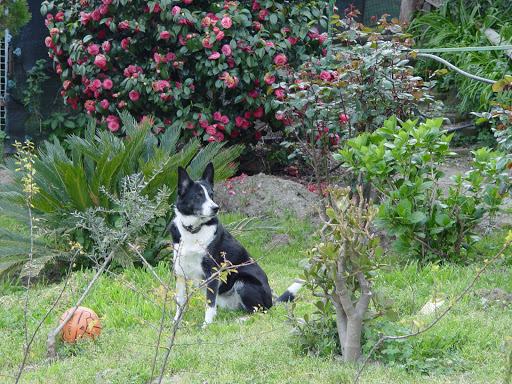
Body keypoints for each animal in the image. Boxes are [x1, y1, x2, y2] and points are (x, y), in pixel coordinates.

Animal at [168, 164, 304, 326]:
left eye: (211, 195)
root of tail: (271, 302)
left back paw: (240, 319)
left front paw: (206, 325)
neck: (194, 230)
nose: (216, 208)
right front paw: (175, 322)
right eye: (198, 196)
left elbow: (209, 303)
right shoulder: (179, 272)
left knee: (260, 311)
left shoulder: (212, 271)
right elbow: (180, 302)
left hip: (243, 282)